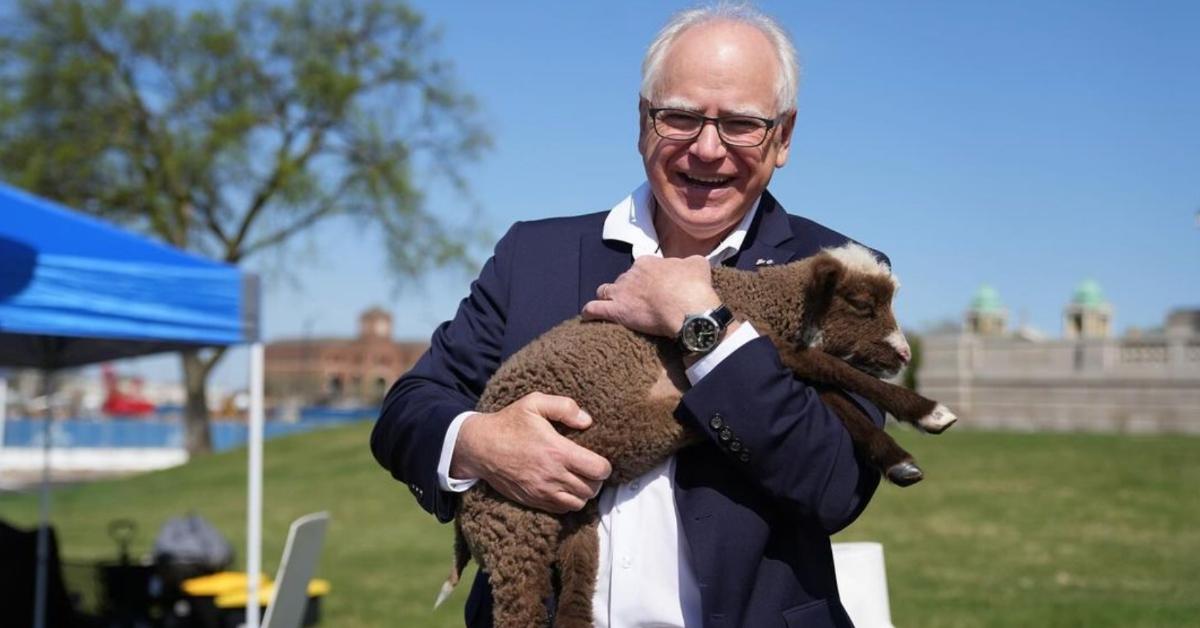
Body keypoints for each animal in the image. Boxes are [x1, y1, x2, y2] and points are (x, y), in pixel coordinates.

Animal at [441, 244, 955, 628]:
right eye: (862, 305)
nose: (905, 354)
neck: (761, 298)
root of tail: (464, 522)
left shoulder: (775, 356)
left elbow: (837, 398)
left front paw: (900, 458)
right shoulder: (774, 345)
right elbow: (834, 371)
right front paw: (928, 411)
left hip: (574, 523)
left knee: (574, 599)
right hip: (513, 527)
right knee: (520, 612)